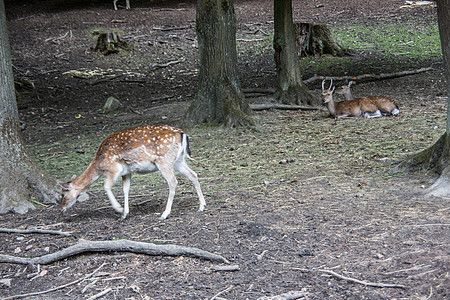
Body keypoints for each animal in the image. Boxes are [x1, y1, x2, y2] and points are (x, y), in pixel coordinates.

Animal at [59, 124, 206, 220]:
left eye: (63, 195)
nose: (61, 210)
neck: (98, 165)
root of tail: (182, 134)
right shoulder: (126, 172)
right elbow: (125, 190)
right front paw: (124, 214)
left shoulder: (114, 169)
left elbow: (106, 186)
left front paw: (119, 209)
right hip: (178, 161)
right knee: (193, 174)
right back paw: (202, 206)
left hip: (164, 161)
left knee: (173, 182)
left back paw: (164, 214)